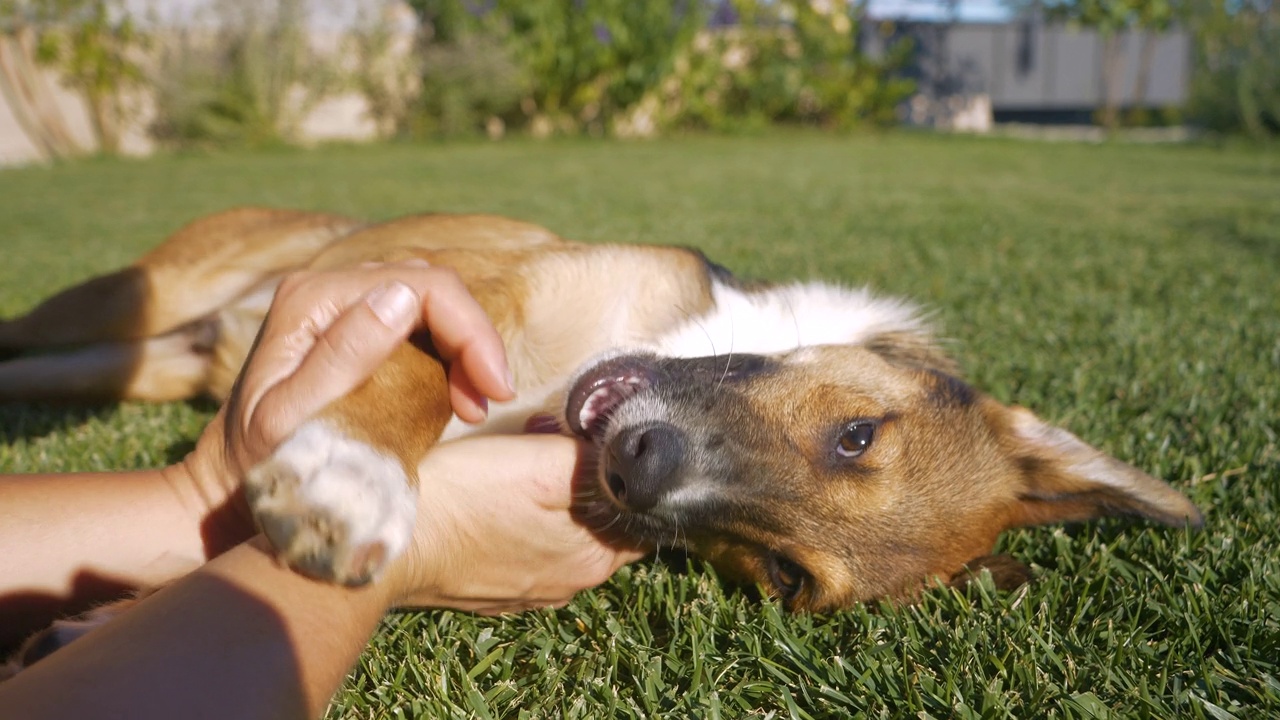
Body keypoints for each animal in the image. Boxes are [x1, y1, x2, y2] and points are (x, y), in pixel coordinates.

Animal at [0, 207, 1198, 627]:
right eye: (857, 435)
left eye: (786, 578)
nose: (638, 464)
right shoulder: (450, 293)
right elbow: (409, 381)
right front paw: (348, 478)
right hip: (126, 297)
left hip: (126, 365)